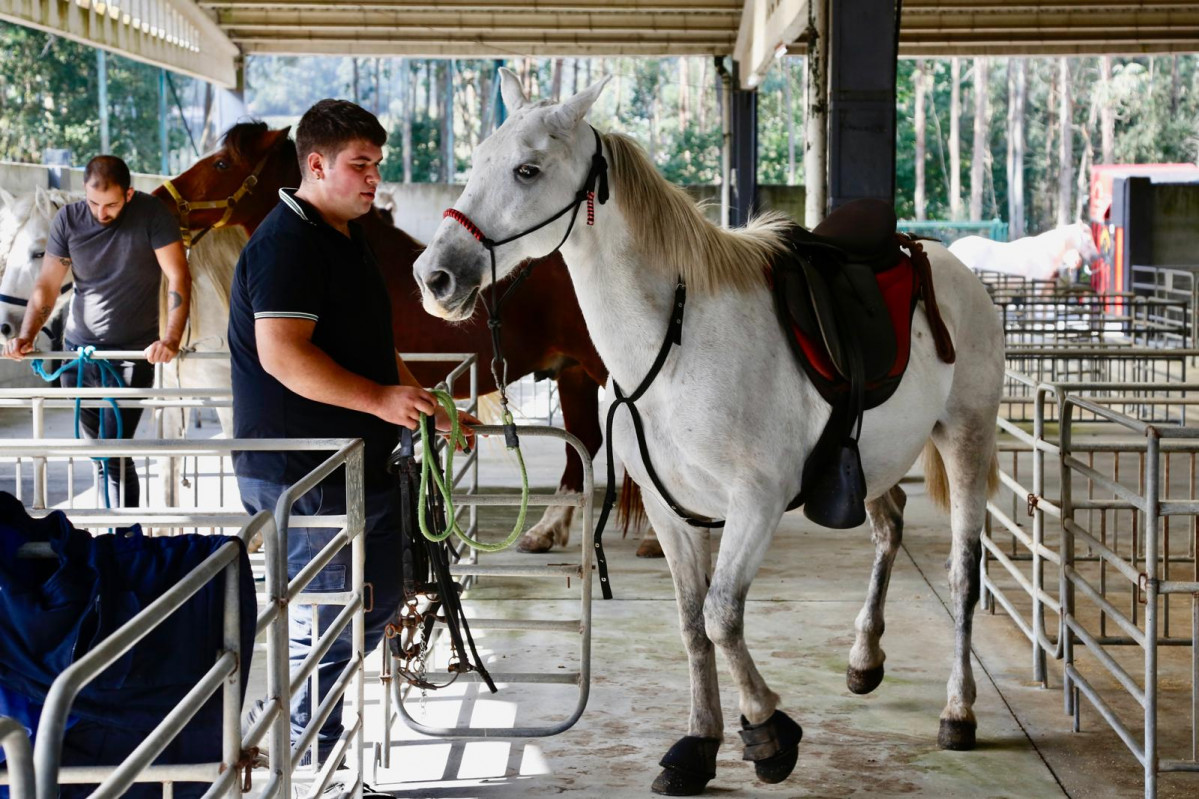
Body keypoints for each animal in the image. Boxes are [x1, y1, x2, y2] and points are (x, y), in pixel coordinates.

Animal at [417, 71, 1007, 791]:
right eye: (476, 162)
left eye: (526, 170)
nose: (435, 276)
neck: (675, 341)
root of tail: (946, 263)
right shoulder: (674, 510)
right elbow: (691, 623)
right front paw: (700, 742)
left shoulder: (754, 503)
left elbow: (722, 617)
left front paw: (768, 732)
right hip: (874, 461)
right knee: (889, 528)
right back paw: (864, 656)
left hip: (966, 439)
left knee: (962, 574)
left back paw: (959, 710)